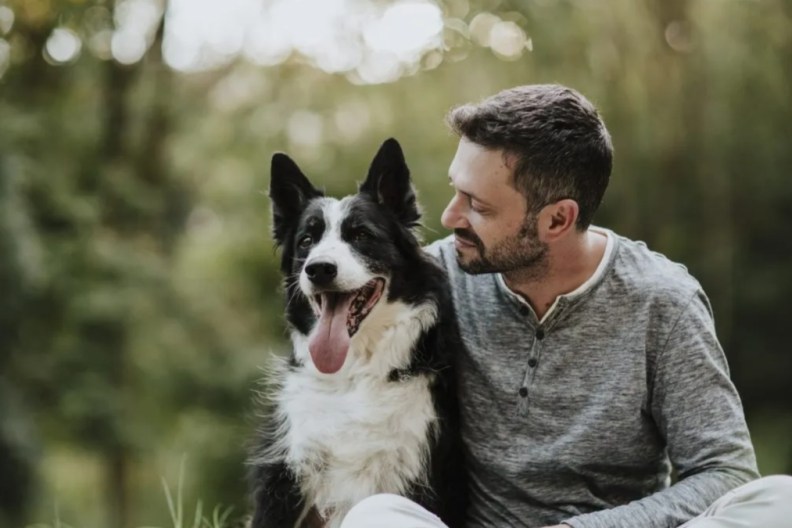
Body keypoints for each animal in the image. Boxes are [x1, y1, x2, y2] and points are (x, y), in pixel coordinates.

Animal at [251, 139, 468, 528]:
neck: (353, 374)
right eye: (306, 240)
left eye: (362, 236)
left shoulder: (419, 474)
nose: (319, 269)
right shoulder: (287, 477)